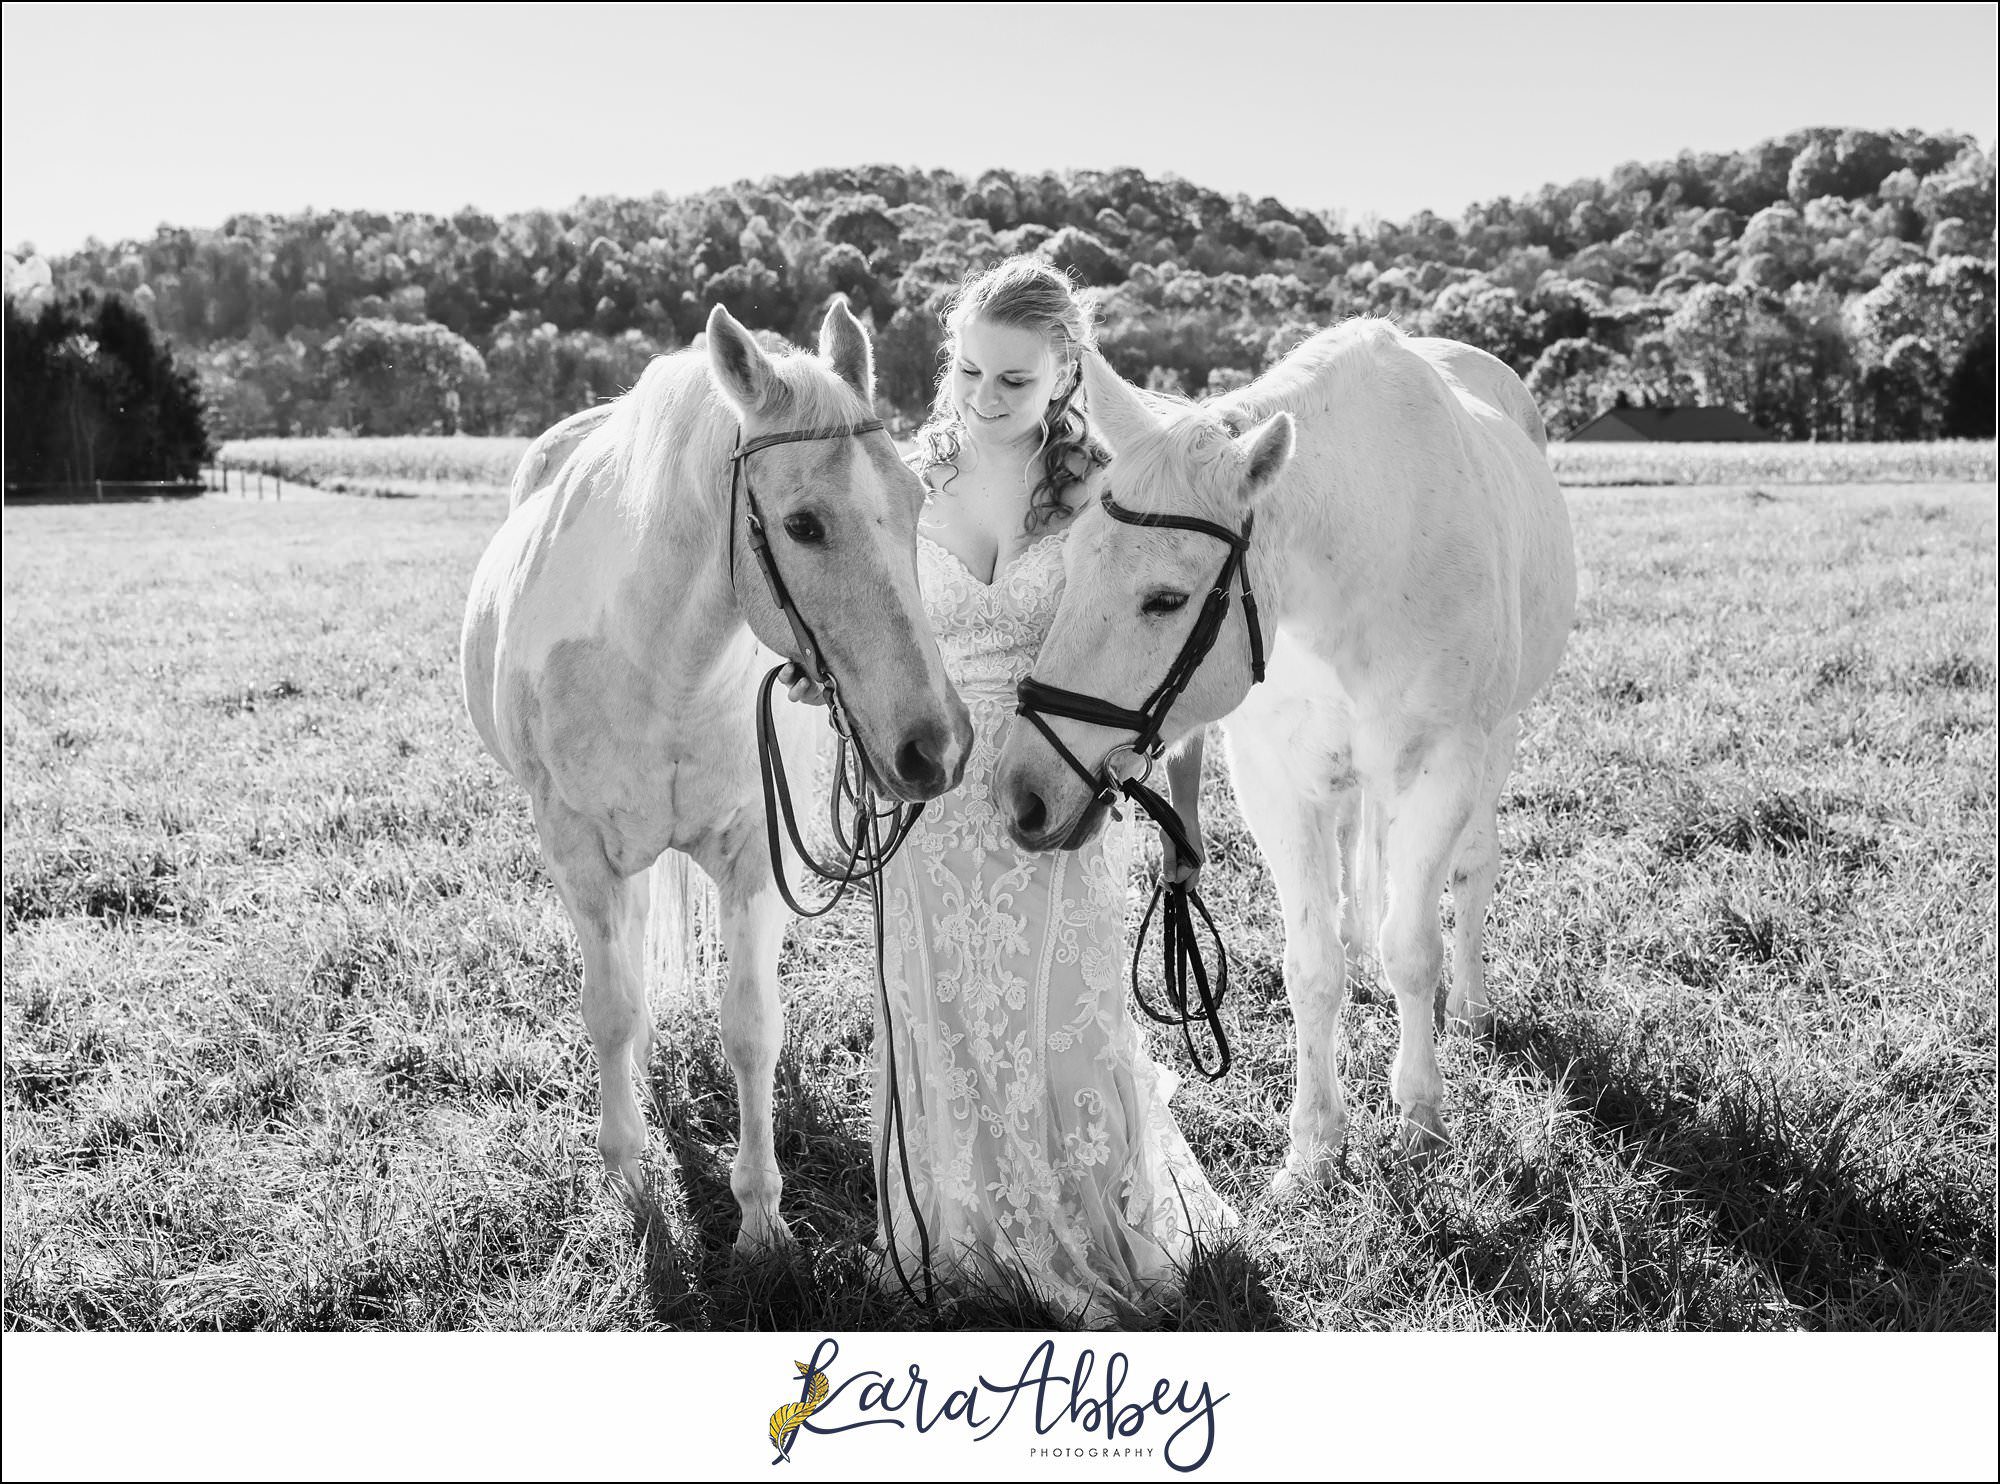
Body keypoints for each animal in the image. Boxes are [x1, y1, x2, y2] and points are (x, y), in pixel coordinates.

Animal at [461, 299, 973, 1251]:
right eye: (803, 524)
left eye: (918, 502)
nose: (938, 747)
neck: (663, 663)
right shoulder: (576, 853)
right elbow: (609, 1009)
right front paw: (630, 1180)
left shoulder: (753, 855)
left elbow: (751, 1026)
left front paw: (762, 1216)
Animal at [994, 319, 1575, 1182]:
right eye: (1066, 565)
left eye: (1165, 600)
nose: (1023, 794)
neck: (1363, 559)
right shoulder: (1278, 782)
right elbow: (1312, 967)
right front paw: (1314, 1145)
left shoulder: (1444, 770)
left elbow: (1415, 949)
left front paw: (1420, 1116)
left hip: (1496, 743)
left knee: (1473, 871)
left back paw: (1470, 1008)